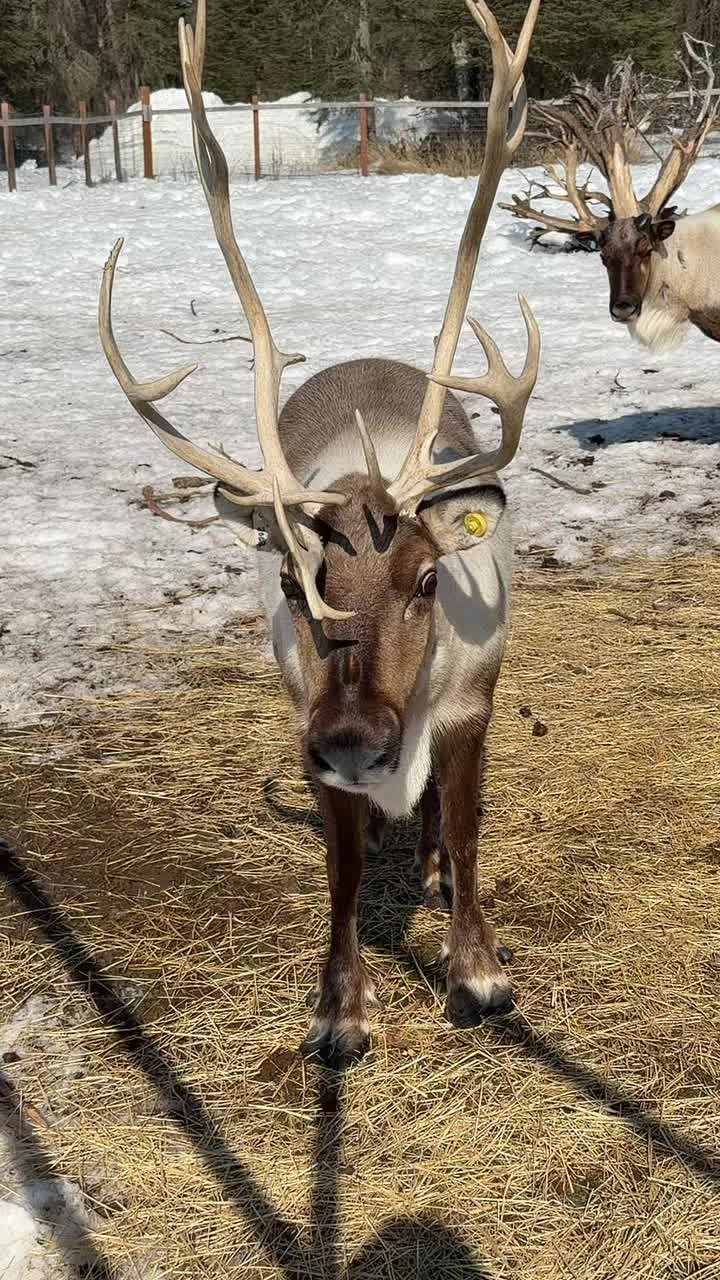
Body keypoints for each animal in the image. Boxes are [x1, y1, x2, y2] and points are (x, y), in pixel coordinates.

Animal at [97, 0, 541, 1070]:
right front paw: (341, 1010)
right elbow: (338, 871)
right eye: (298, 586)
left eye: (427, 580)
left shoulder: (474, 698)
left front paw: (478, 973)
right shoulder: (304, 713)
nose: (354, 738)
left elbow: (469, 831)